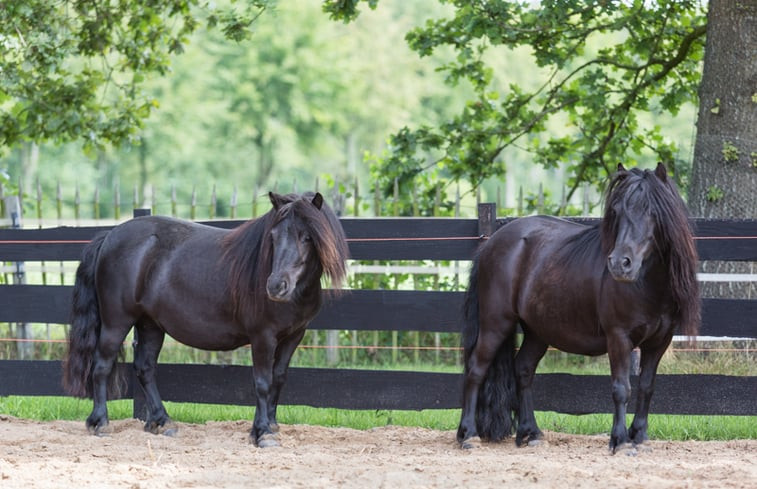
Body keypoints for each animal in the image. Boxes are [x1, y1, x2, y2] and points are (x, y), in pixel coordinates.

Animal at [64, 191, 348, 446]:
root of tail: (109, 236)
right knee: (101, 365)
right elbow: (262, 383)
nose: (277, 286)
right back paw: (100, 423)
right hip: (117, 322)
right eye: (273, 237)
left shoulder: (293, 336)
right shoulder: (263, 337)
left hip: (150, 324)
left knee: (145, 368)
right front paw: (262, 433)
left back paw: (162, 422)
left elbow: (278, 378)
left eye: (308, 237)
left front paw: (272, 425)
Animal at [454, 164, 696, 454]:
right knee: (476, 370)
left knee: (523, 370)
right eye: (617, 212)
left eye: (652, 211)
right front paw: (621, 440)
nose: (620, 264)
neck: (648, 285)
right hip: (495, 324)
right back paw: (469, 434)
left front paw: (640, 437)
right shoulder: (619, 338)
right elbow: (621, 388)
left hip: (537, 331)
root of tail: (491, 243)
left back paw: (531, 433)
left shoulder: (659, 342)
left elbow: (647, 387)